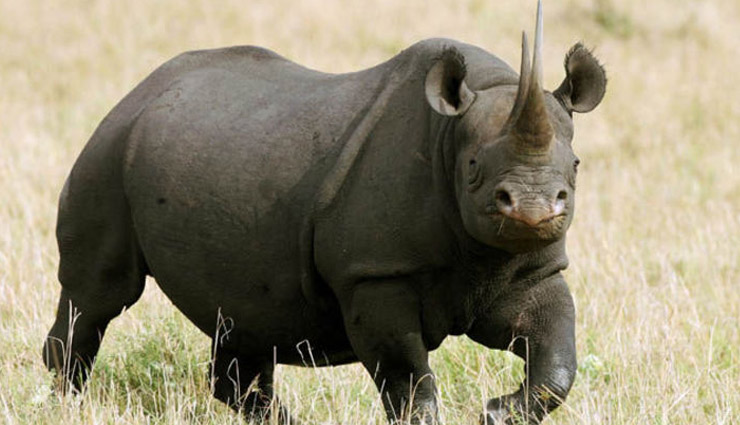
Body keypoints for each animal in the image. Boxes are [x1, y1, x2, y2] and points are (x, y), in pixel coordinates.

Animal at [43, 2, 605, 423]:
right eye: (472, 169)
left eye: (576, 167)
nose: (533, 208)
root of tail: (138, 89)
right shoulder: (374, 274)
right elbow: (407, 379)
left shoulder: (532, 269)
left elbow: (557, 360)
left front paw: (496, 411)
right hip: (108, 151)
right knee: (99, 294)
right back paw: (65, 400)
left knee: (244, 321)